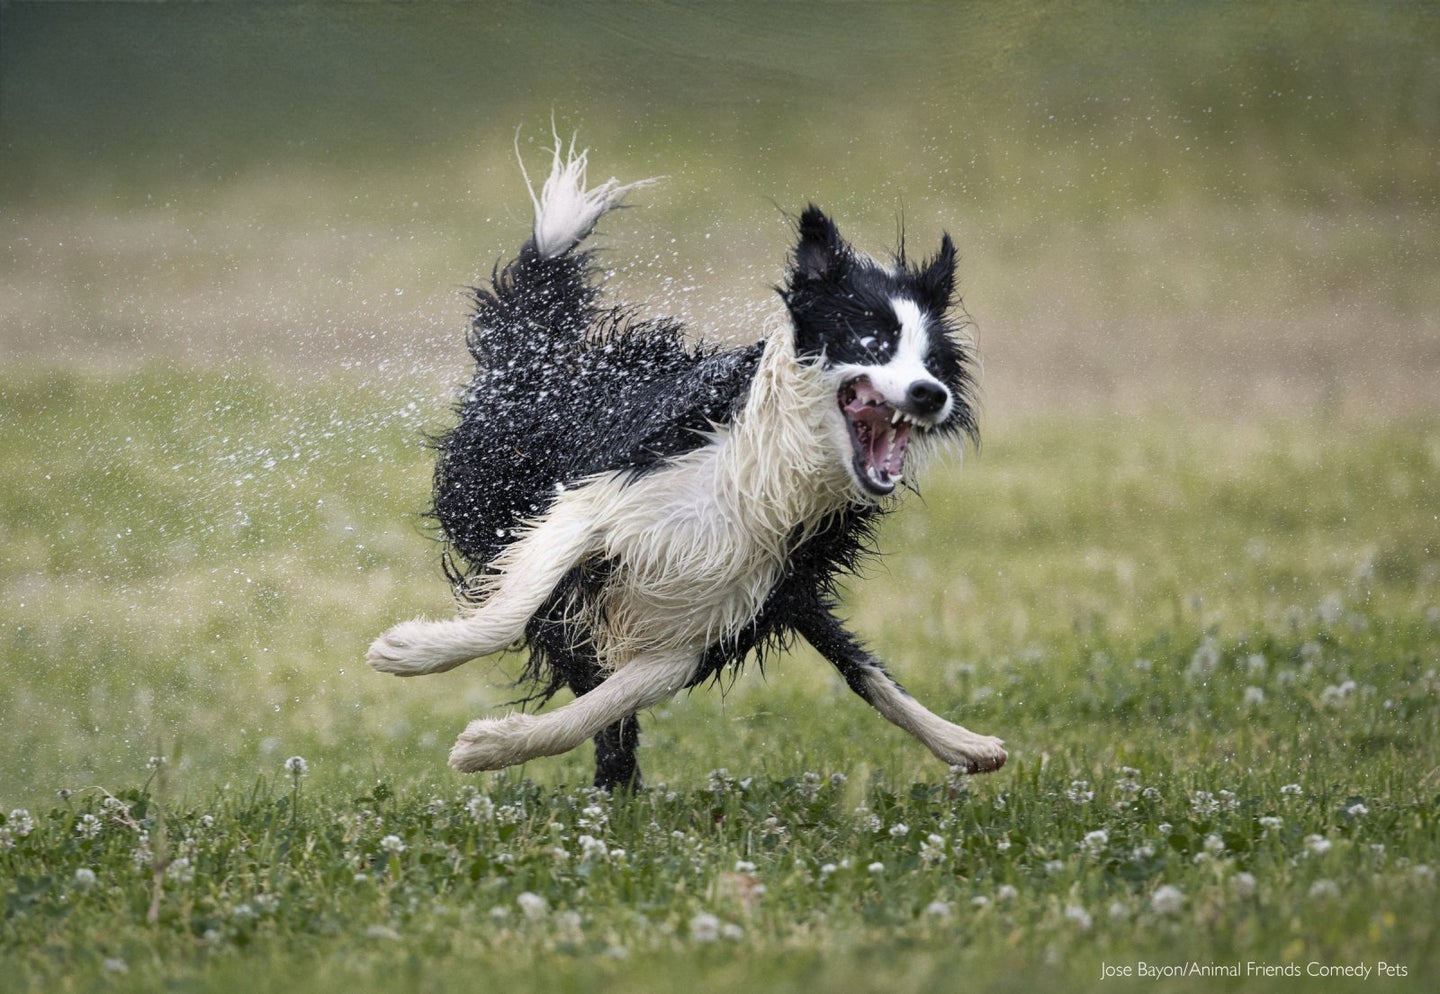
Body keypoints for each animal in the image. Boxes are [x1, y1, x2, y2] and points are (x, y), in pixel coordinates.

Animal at [365, 135, 1008, 789]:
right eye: (872, 341)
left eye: (935, 361)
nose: (931, 394)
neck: (768, 473)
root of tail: (547, 358)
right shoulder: (598, 498)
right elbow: (512, 609)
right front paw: (411, 651)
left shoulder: (716, 616)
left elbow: (607, 702)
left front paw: (492, 746)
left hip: (783, 592)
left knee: (857, 665)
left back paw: (968, 744)